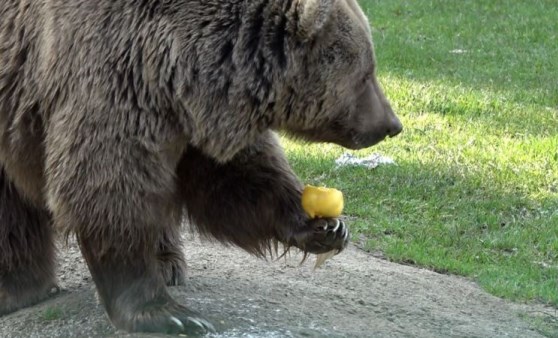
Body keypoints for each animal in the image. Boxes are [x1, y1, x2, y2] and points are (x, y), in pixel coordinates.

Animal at [0, 0, 402, 336]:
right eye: (366, 73)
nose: (392, 124)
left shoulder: (190, 120)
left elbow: (236, 180)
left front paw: (325, 226)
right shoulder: (109, 76)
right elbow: (107, 190)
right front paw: (167, 313)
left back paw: (167, 262)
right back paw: (18, 288)